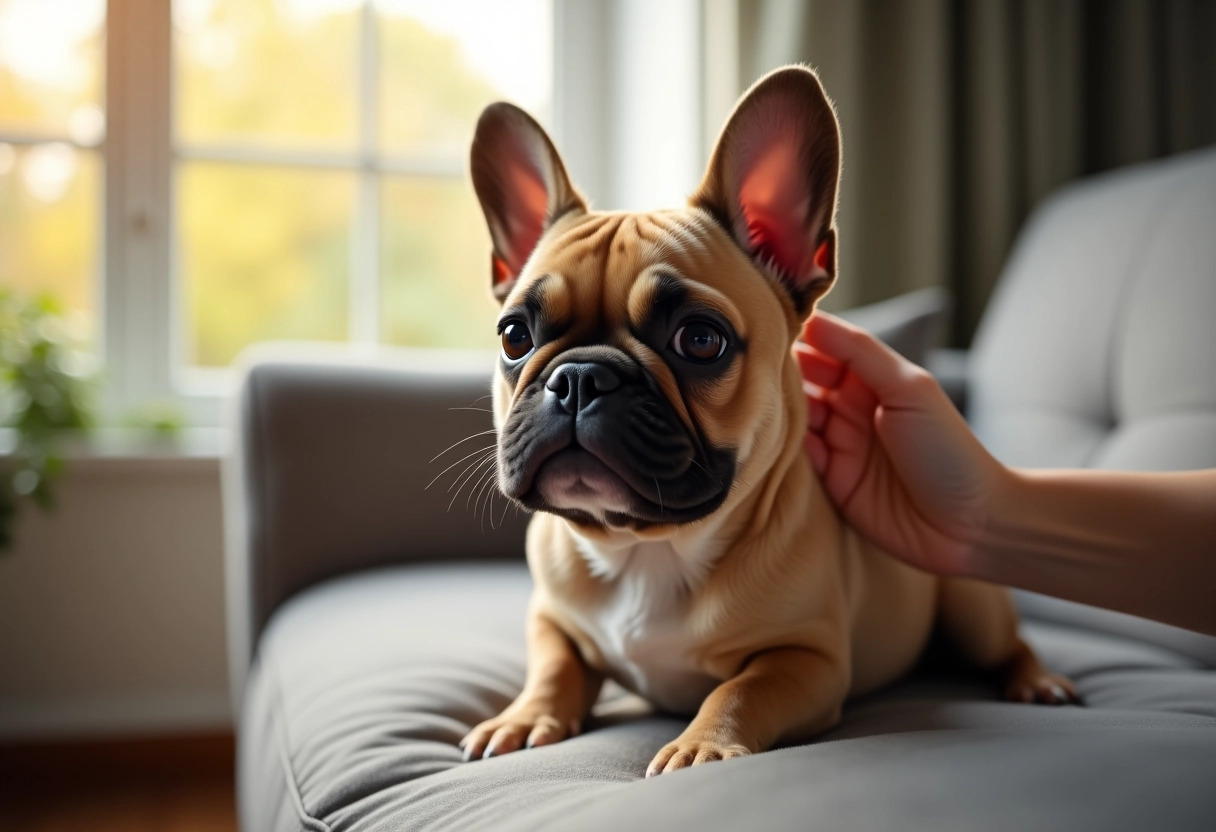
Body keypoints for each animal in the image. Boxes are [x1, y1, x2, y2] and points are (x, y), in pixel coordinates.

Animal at [457, 66, 1074, 778]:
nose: (581, 376)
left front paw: (701, 744)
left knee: (1008, 644)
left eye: (700, 340)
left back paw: (1038, 681)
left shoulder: (808, 658)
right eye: (514, 336)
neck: (647, 549)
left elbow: (742, 687)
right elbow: (554, 664)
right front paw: (523, 717)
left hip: (971, 604)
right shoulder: (551, 617)